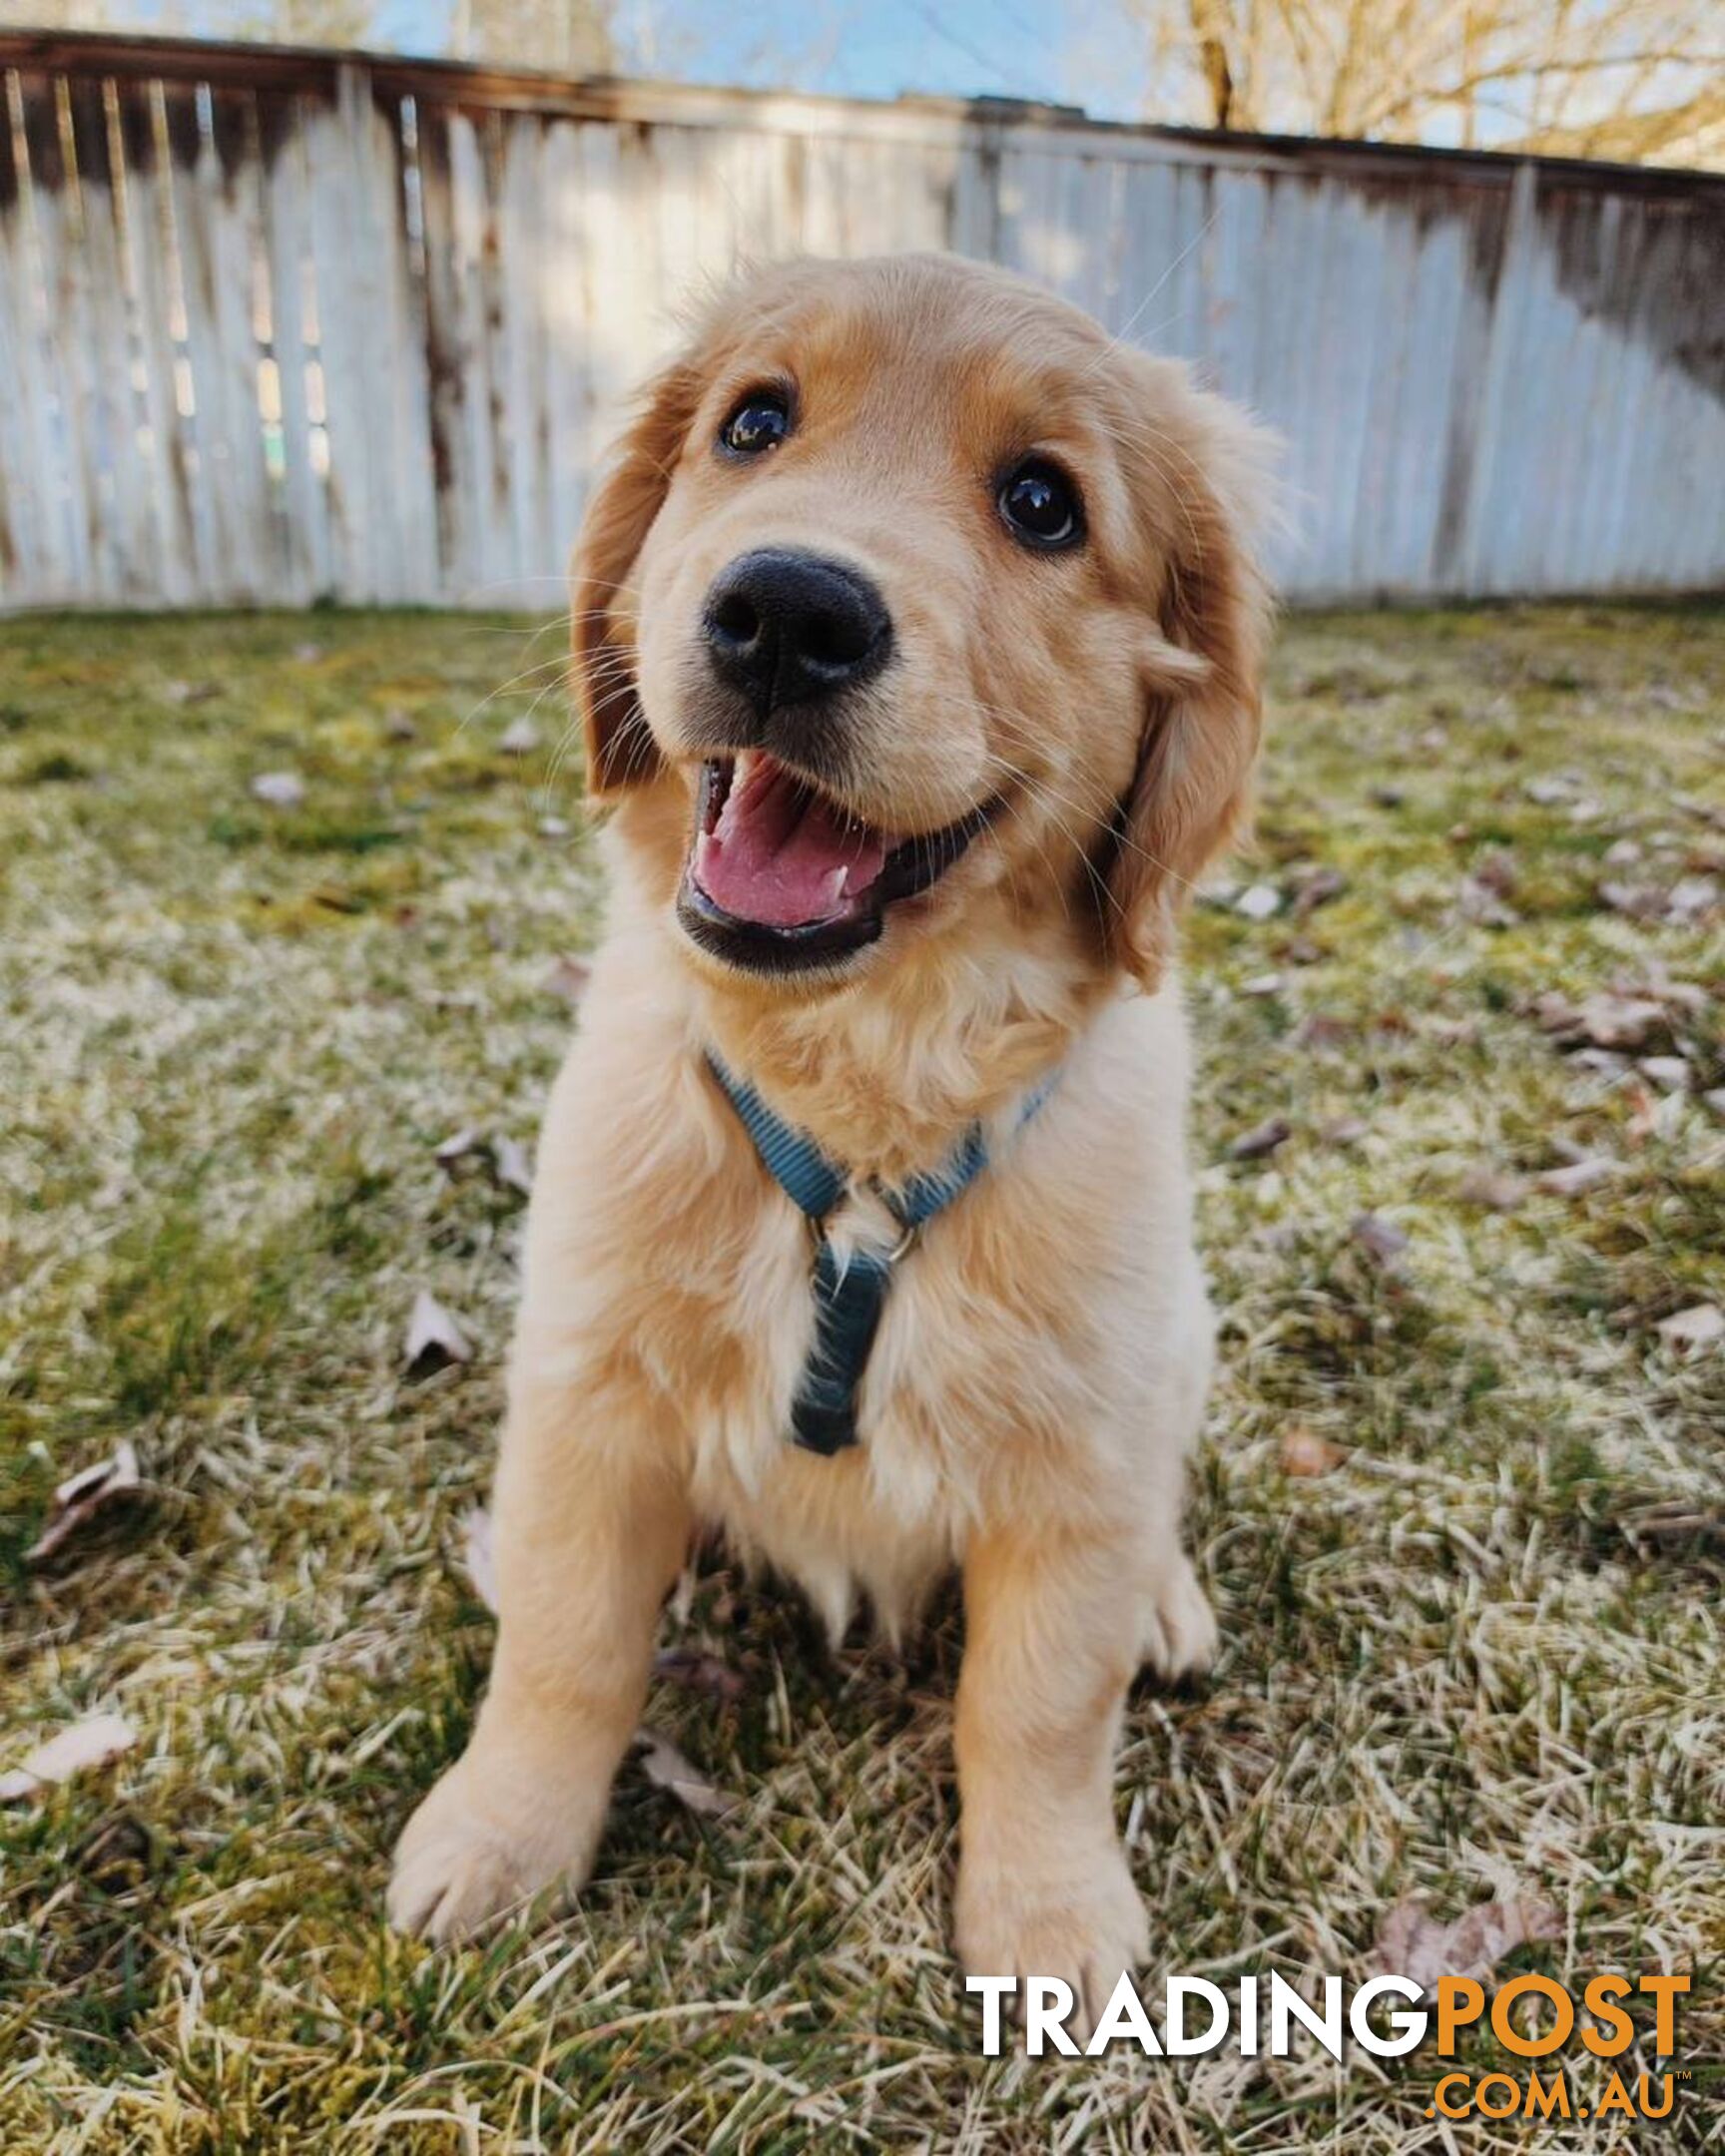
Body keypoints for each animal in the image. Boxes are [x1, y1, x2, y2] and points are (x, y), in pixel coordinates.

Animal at [394, 252, 1276, 2017]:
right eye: (754, 423)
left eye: (1043, 504)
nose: (790, 614)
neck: (860, 1098)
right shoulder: (587, 1393)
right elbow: (565, 1646)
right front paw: (502, 1836)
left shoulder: (1080, 1449)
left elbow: (1039, 1703)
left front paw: (1049, 1915)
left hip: (1182, 1337)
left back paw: (1165, 1597)